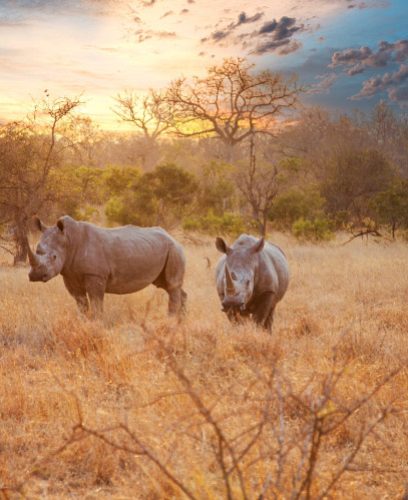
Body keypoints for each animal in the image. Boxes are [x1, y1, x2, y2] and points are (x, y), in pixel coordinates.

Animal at [27, 215, 187, 316]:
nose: (35, 275)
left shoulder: (95, 275)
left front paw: (96, 325)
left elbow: (97, 305)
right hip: (162, 249)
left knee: (172, 285)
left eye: (54, 257)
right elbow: (81, 304)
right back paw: (180, 322)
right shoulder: (69, 274)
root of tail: (173, 238)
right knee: (167, 285)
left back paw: (170, 320)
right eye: (37, 250)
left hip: (174, 249)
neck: (68, 240)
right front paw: (83, 322)